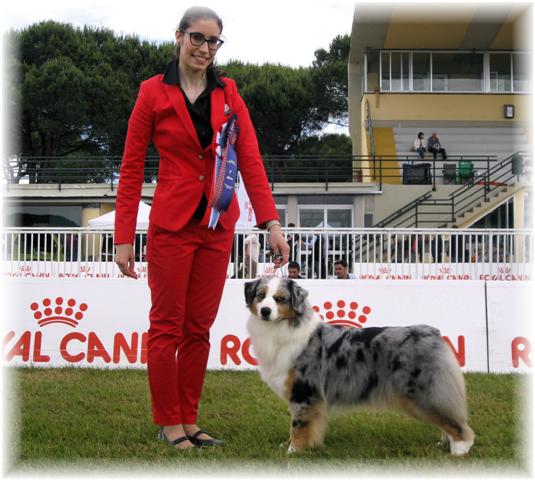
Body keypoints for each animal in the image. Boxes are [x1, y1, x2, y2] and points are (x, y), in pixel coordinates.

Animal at [245, 276, 476, 456]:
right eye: (260, 296)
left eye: (280, 299)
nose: (265, 311)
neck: (281, 329)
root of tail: (433, 333)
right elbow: (308, 426)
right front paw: (303, 447)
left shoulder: (304, 391)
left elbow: (298, 425)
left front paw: (293, 451)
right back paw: (444, 442)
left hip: (423, 392)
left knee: (455, 421)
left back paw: (460, 449)